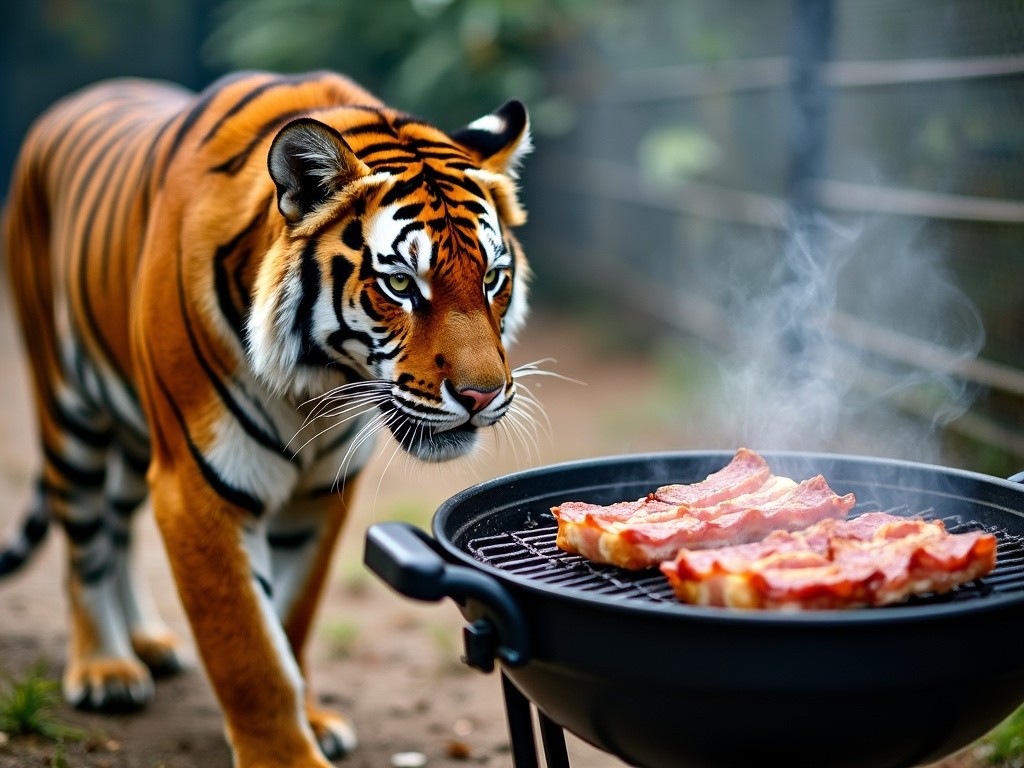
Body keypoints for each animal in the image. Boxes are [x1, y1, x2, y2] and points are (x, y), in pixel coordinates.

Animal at [2, 69, 536, 765]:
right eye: (400, 286)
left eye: (493, 278)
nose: (482, 396)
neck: (314, 382)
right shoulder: (197, 486)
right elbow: (248, 650)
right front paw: (286, 755)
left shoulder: (318, 494)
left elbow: (290, 621)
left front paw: (312, 719)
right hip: (67, 409)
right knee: (85, 543)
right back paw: (105, 669)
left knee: (118, 525)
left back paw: (147, 642)